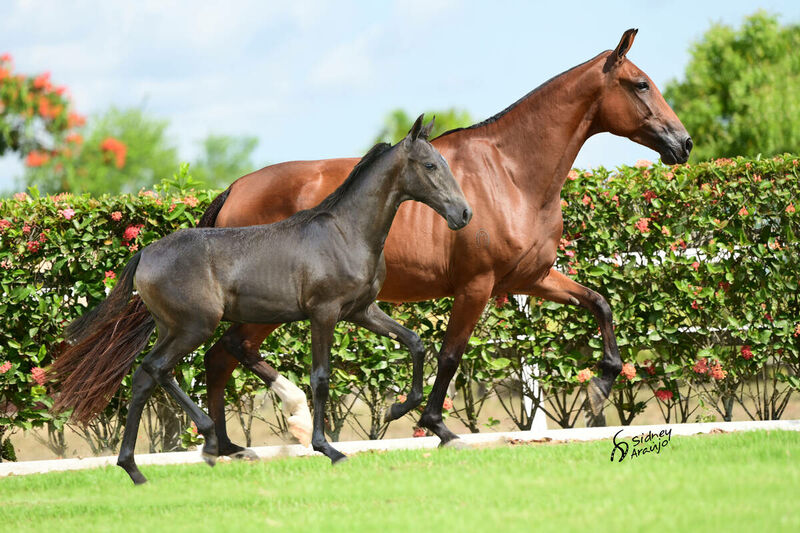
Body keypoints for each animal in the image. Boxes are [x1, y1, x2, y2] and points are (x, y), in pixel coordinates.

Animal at [49, 115, 472, 483]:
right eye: (430, 165)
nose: (464, 214)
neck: (346, 233)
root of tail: (144, 254)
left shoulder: (361, 311)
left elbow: (415, 342)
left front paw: (396, 409)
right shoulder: (324, 313)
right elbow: (321, 377)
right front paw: (328, 449)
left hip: (173, 328)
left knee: (144, 378)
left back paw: (136, 469)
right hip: (194, 327)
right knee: (157, 369)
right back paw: (209, 442)